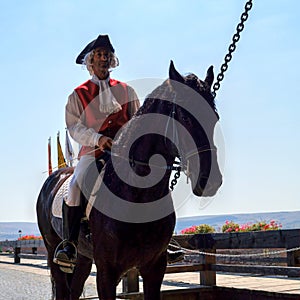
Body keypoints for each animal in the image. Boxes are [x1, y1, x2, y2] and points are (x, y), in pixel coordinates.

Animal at [36, 61, 221, 300]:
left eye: (214, 118)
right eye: (187, 118)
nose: (210, 181)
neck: (137, 194)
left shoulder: (155, 268)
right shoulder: (106, 272)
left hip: (84, 258)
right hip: (53, 252)